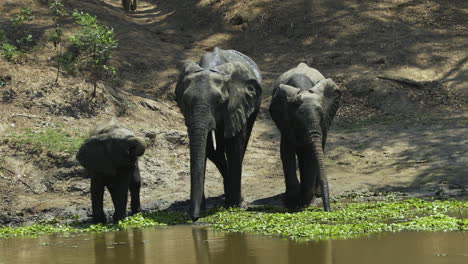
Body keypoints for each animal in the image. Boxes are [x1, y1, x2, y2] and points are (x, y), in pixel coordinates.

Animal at [268, 63, 342, 211]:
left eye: (321, 116)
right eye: (298, 121)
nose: (327, 211)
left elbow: (310, 155)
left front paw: (304, 201)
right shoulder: (285, 121)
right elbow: (286, 151)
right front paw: (292, 200)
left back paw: (316, 193)